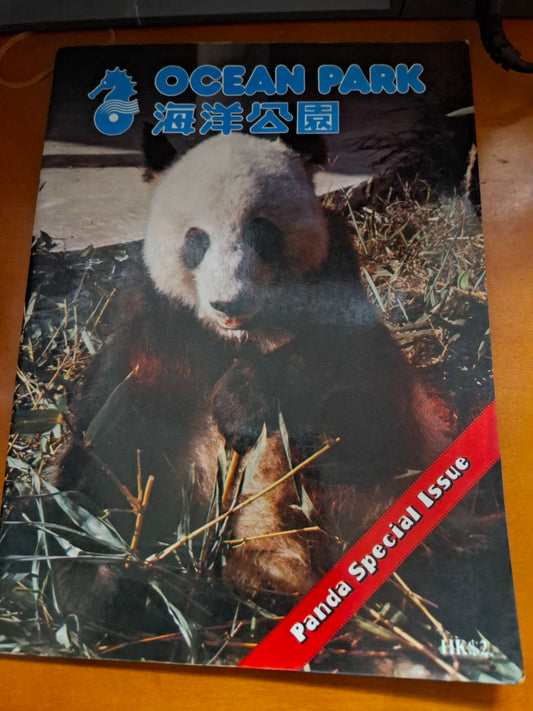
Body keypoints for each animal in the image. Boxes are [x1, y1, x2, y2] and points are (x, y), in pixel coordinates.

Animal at [50, 132, 452, 631]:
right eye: (196, 240)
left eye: (262, 231)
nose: (229, 303)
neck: (242, 337)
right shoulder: (155, 324)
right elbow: (110, 434)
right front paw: (92, 580)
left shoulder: (338, 285)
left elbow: (356, 378)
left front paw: (241, 401)